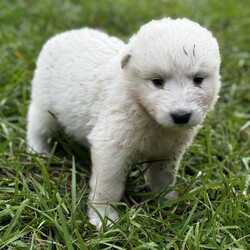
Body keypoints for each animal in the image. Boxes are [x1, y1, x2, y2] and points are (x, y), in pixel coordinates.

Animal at [26, 17, 221, 229]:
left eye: (198, 79)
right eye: (157, 81)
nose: (181, 115)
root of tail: (64, 34)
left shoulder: (170, 149)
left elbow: (164, 176)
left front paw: (167, 202)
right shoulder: (111, 145)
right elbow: (108, 185)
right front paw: (104, 218)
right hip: (44, 103)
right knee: (37, 126)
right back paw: (38, 151)